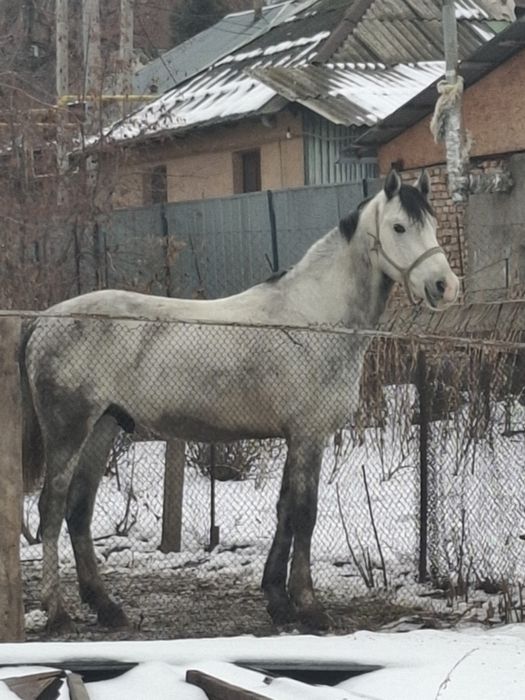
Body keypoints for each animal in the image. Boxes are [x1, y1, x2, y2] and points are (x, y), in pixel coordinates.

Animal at [21, 169, 459, 632]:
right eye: (399, 227)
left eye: (432, 224)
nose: (445, 286)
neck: (313, 317)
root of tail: (43, 320)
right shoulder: (309, 436)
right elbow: (304, 514)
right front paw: (309, 607)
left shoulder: (294, 438)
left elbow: (285, 511)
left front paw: (278, 601)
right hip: (68, 432)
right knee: (51, 509)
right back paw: (57, 612)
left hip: (103, 427)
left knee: (78, 510)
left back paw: (106, 607)